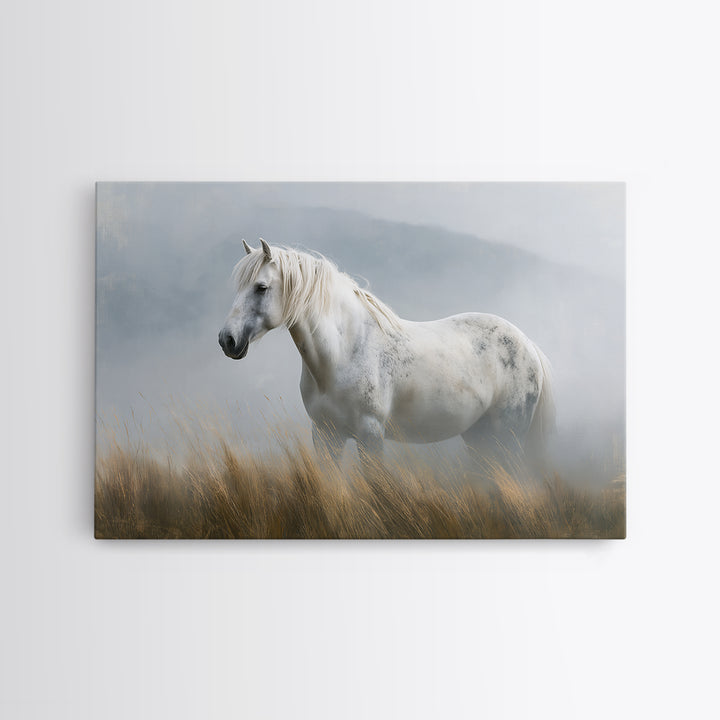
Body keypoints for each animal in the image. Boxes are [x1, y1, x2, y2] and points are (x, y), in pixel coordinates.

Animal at [218, 239, 555, 470]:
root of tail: (529, 345)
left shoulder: (370, 435)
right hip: (479, 438)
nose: (227, 340)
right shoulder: (325, 436)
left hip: (506, 439)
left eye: (261, 287)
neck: (344, 353)